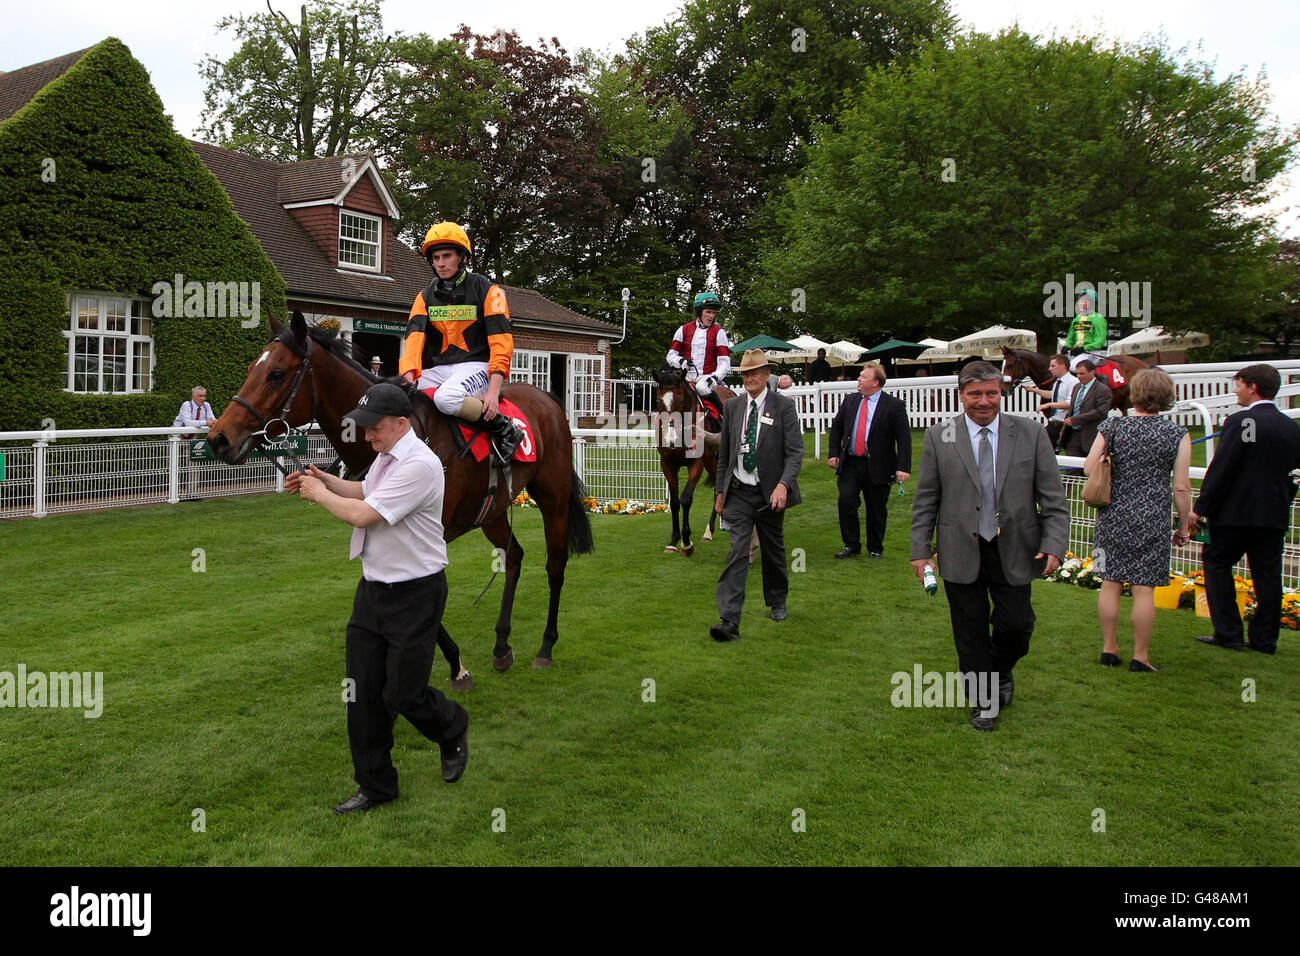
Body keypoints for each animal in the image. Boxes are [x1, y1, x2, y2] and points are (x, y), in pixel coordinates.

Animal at [206, 314, 595, 671]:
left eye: (276, 374)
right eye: (250, 369)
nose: (218, 438)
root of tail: (546, 397)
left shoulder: (430, 533)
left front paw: (454, 664)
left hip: (553, 497)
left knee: (555, 563)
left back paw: (546, 646)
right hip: (493, 510)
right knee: (514, 556)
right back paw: (501, 645)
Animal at [650, 369, 733, 561]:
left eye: (681, 400)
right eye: (658, 400)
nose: (670, 440)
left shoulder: (696, 463)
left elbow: (686, 499)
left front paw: (686, 542)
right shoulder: (667, 464)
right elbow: (674, 502)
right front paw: (674, 540)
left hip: (712, 459)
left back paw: (709, 531)